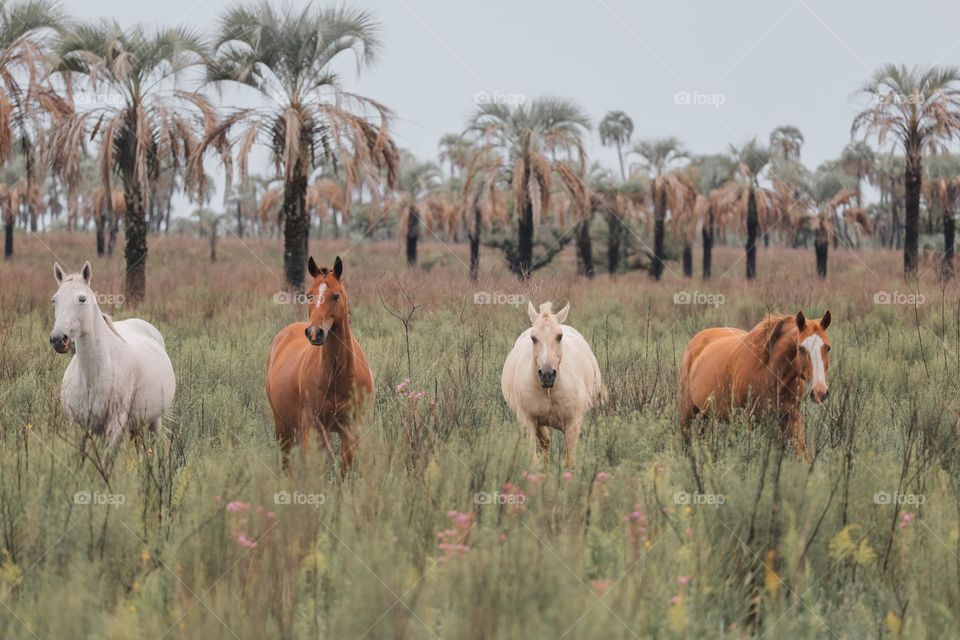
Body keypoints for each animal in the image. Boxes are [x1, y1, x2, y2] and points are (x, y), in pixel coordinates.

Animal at [50, 261, 176, 442]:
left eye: (82, 299)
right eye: (54, 300)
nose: (58, 339)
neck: (93, 377)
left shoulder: (115, 426)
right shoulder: (77, 424)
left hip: (154, 422)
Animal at [265, 256, 374, 473]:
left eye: (336, 296)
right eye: (309, 295)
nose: (315, 332)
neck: (338, 376)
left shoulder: (350, 429)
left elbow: (345, 468)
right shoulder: (313, 426)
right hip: (283, 425)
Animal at [501, 301, 606, 467]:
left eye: (559, 336)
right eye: (533, 337)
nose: (547, 374)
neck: (550, 391)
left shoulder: (573, 424)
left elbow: (569, 461)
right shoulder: (528, 421)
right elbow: (534, 457)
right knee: (546, 443)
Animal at [678, 311, 832, 459]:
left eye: (828, 348)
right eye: (801, 348)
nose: (820, 391)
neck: (770, 375)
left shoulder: (792, 419)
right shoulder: (746, 422)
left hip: (705, 414)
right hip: (687, 414)